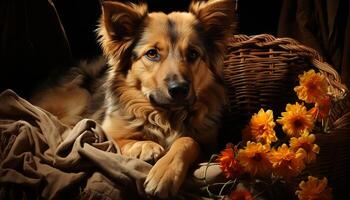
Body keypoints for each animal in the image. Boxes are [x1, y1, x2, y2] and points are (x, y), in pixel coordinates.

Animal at [31, 0, 237, 197]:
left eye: (193, 54)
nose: (179, 89)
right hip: (78, 97)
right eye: (152, 53)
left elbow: (188, 140)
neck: (166, 115)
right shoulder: (105, 132)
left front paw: (165, 173)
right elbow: (118, 140)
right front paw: (146, 146)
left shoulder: (210, 146)